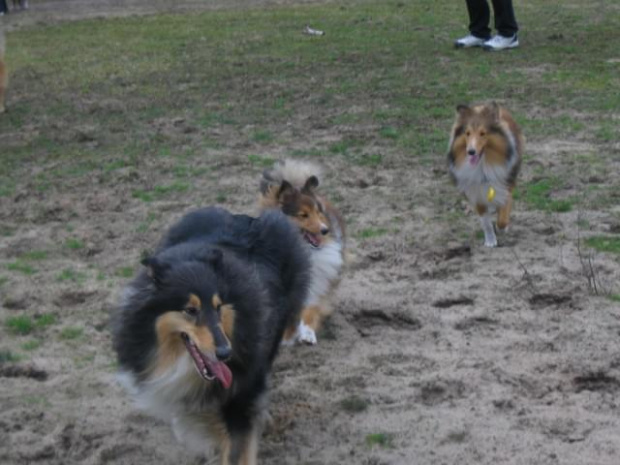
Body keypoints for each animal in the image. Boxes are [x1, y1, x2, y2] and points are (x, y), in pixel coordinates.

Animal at [256, 160, 344, 344]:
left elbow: (309, 311)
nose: (324, 230)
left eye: (318, 212)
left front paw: (307, 334)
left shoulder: (316, 285)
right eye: (303, 215)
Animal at [446, 101, 524, 246]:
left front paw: (501, 227)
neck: (483, 165)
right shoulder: (476, 191)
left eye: (483, 133)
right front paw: (490, 240)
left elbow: (504, 212)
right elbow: (485, 221)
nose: (471, 151)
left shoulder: (505, 183)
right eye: (467, 133)